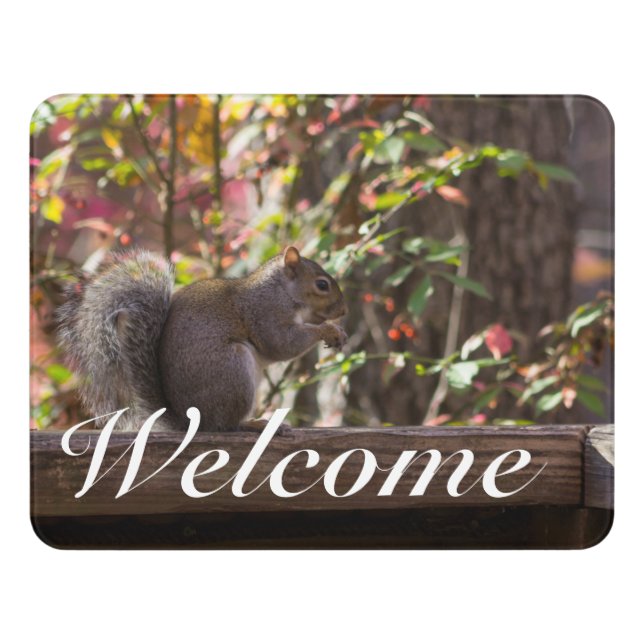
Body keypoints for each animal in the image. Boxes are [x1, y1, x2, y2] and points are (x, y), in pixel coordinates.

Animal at [57, 246, 347, 432]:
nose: (343, 312)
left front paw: (337, 330)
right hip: (233, 369)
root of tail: (190, 421)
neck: (281, 290)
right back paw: (253, 423)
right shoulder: (265, 313)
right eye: (322, 285)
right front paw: (328, 330)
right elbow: (282, 344)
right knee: (224, 425)